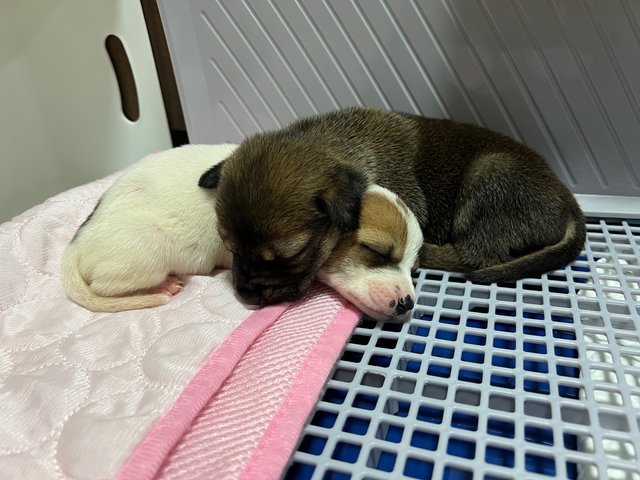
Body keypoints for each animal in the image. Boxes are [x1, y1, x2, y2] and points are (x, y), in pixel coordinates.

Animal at [60, 144, 422, 320]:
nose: (407, 303)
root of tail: (75, 245)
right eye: (375, 251)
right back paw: (165, 284)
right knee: (107, 287)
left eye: (415, 269)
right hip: (149, 249)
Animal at [200, 107, 584, 306]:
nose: (246, 295)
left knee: (478, 257)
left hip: (490, 177)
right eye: (229, 247)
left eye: (292, 253)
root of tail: (570, 203)